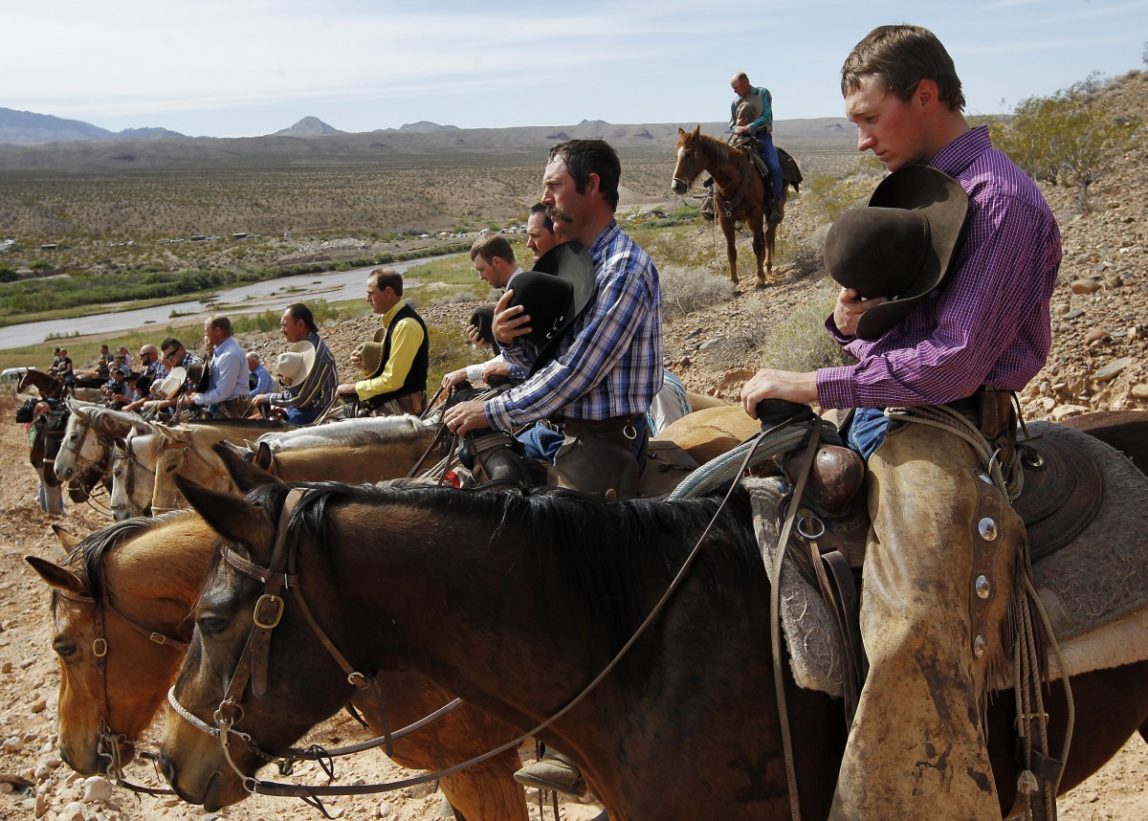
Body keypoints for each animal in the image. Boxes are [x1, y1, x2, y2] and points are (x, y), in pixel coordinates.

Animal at [670, 123, 803, 287]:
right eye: (676, 155)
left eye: (689, 154)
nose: (676, 186)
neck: (733, 179)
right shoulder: (725, 219)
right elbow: (731, 251)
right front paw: (734, 281)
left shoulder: (755, 213)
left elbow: (757, 246)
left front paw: (760, 278)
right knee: (765, 237)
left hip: (773, 210)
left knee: (768, 234)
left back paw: (767, 267)